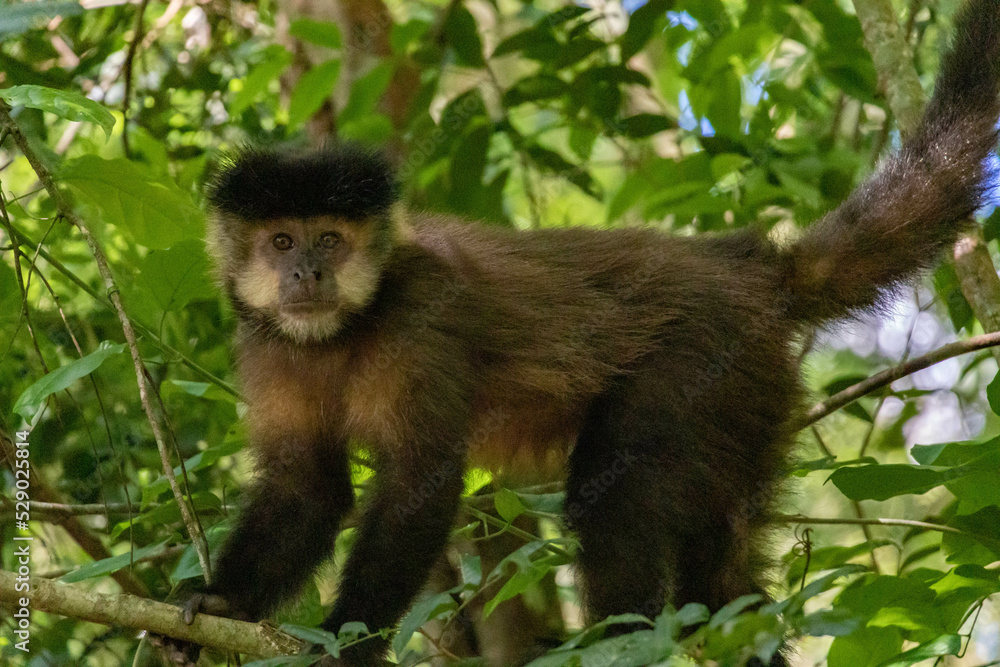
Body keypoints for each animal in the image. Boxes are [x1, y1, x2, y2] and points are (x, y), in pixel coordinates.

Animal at [164, 1, 1000, 665]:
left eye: (330, 240)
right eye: (281, 241)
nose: (306, 272)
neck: (345, 331)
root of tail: (743, 265)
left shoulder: (418, 320)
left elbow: (419, 483)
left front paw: (347, 643)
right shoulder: (265, 345)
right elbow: (306, 485)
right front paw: (221, 606)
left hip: (706, 357)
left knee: (617, 482)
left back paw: (616, 638)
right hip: (753, 396)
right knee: (722, 574)